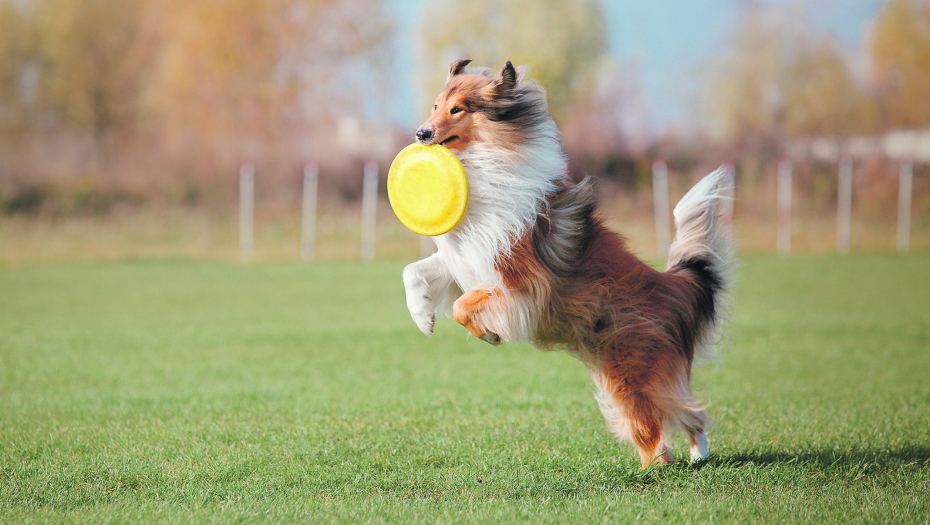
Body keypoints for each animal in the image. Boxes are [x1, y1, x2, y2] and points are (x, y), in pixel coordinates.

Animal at [400, 59, 732, 468]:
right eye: (435, 105)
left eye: (457, 109)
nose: (421, 133)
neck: (484, 163)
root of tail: (669, 284)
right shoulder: (465, 258)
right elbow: (414, 273)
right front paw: (423, 318)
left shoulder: (520, 279)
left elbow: (464, 305)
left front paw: (489, 333)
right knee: (679, 412)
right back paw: (692, 455)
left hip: (631, 368)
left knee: (667, 417)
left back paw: (660, 464)